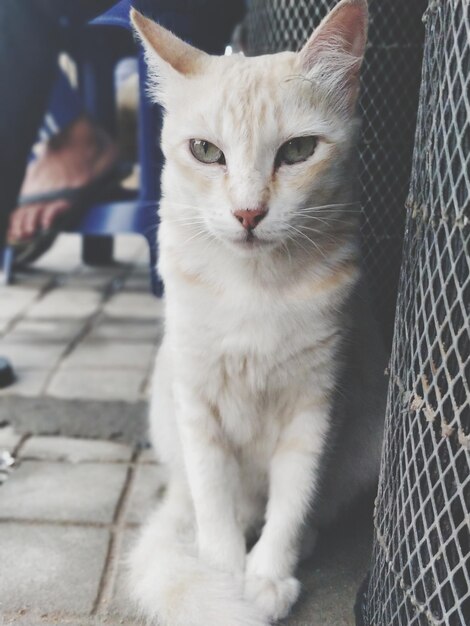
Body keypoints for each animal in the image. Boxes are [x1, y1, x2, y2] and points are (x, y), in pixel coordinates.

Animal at [129, 2, 386, 620]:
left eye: (297, 151)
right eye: (205, 151)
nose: (248, 213)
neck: (254, 289)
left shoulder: (315, 407)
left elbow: (293, 500)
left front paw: (267, 574)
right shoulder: (197, 403)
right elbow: (215, 500)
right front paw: (224, 574)